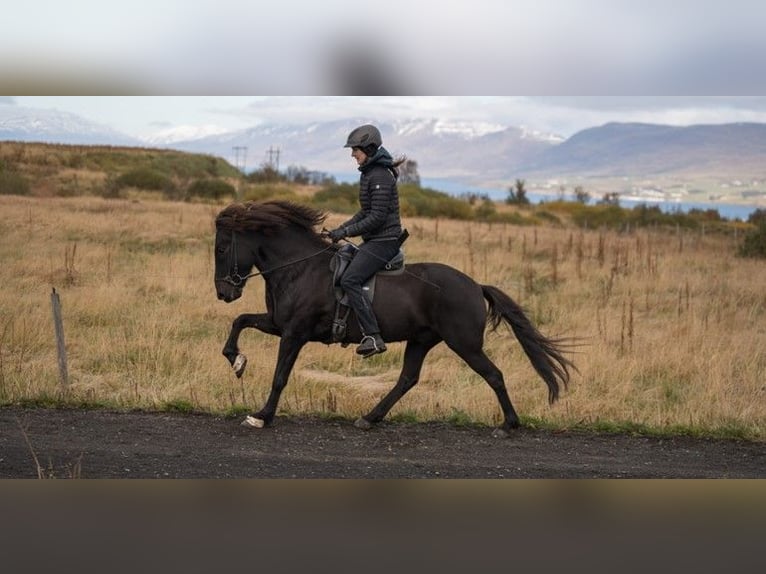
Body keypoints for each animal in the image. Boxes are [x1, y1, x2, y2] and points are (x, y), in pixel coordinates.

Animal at [216, 200, 576, 438]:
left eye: (221, 248)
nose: (223, 293)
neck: (298, 267)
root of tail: (476, 285)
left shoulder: (295, 332)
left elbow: (280, 376)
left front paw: (261, 416)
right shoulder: (279, 324)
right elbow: (239, 321)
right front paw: (237, 361)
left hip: (465, 344)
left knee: (494, 375)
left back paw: (509, 425)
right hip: (421, 341)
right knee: (407, 379)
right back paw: (370, 417)